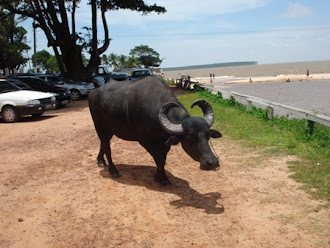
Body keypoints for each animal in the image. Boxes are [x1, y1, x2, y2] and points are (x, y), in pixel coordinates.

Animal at [89, 76, 222, 185]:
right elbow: (159, 159)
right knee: (107, 147)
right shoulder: (146, 142)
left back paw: (100, 161)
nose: (213, 162)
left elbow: (163, 159)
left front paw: (159, 176)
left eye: (208, 136)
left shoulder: (165, 142)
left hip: (109, 130)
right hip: (99, 126)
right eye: (190, 138)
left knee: (103, 143)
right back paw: (113, 170)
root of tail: (93, 93)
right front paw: (162, 178)